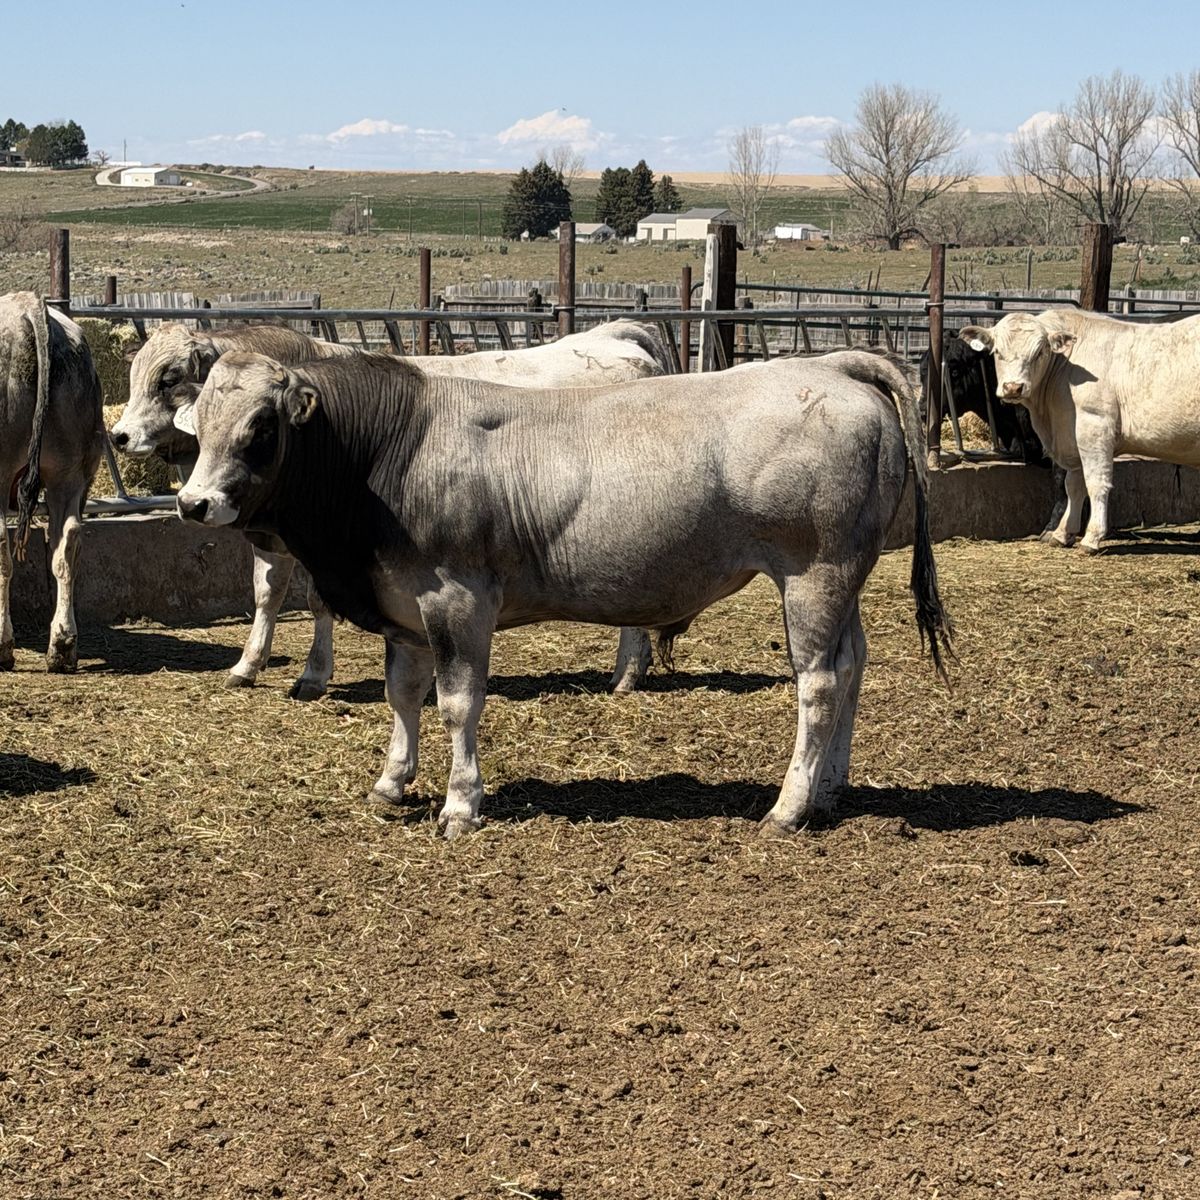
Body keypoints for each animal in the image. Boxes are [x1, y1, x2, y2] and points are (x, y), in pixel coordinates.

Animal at [0, 292, 104, 672]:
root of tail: (28, 305)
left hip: (2, 470)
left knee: (2, 549)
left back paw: (4, 645)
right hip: (71, 475)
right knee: (67, 544)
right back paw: (62, 645)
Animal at [113, 320, 672, 697]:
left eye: (168, 379)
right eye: (135, 373)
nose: (118, 435)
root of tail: (617, 336)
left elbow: (316, 602)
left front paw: (313, 674)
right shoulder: (274, 540)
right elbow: (266, 594)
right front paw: (248, 665)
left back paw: (625, 674)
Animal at [174, 348, 952, 839]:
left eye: (260, 426)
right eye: (200, 424)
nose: (192, 503)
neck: (389, 449)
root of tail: (830, 366)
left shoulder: (458, 598)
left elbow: (457, 703)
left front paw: (460, 804)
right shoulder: (404, 609)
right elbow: (403, 696)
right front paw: (393, 781)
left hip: (813, 573)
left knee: (817, 683)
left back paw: (788, 808)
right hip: (842, 578)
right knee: (853, 666)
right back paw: (830, 789)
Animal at [960, 309, 1200, 553]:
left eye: (1039, 352)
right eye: (997, 351)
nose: (1013, 387)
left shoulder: (1094, 426)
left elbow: (1095, 483)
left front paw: (1092, 537)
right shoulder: (1071, 437)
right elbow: (1073, 485)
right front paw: (1062, 533)